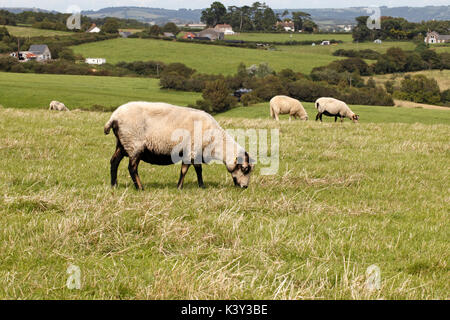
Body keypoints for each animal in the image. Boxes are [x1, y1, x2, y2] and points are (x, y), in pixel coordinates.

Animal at [103, 101, 255, 189]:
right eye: (245, 169)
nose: (245, 187)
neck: (215, 142)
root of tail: (114, 117)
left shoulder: (196, 152)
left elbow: (198, 169)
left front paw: (202, 186)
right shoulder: (190, 150)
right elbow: (184, 170)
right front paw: (179, 187)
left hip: (123, 143)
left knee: (114, 162)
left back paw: (114, 185)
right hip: (134, 144)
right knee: (132, 167)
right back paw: (140, 188)